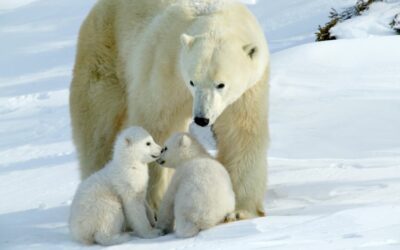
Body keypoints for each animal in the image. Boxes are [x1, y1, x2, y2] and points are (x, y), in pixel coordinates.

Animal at [69, 0, 268, 219]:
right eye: (192, 81)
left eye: (221, 84)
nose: (201, 119)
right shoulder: (166, 67)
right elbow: (156, 124)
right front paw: (154, 204)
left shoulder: (247, 91)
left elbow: (240, 134)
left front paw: (241, 210)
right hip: (104, 55)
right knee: (98, 129)